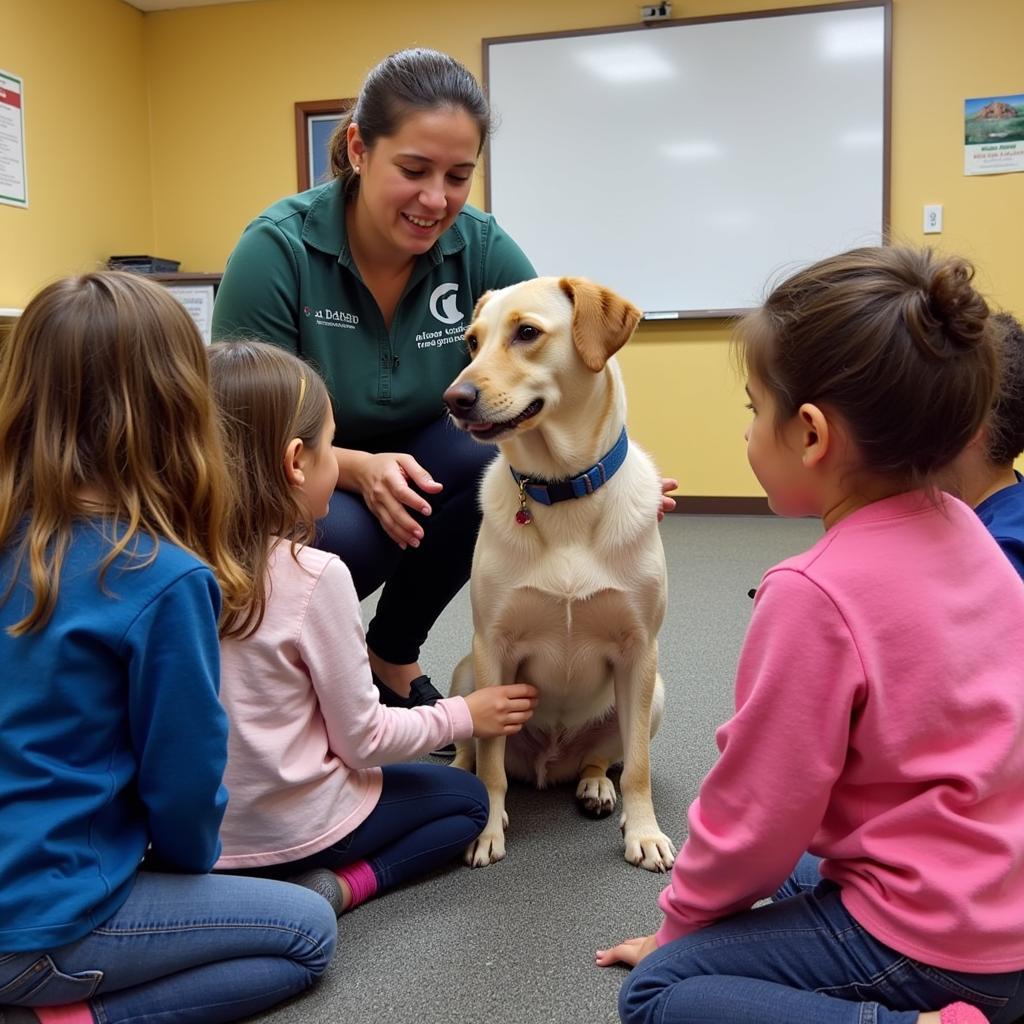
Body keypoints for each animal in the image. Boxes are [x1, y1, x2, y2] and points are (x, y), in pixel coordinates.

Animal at [442, 278, 675, 872]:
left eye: (526, 332)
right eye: (471, 342)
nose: (454, 399)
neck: (562, 488)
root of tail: (549, 763)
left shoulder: (640, 650)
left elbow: (638, 766)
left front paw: (644, 832)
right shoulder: (493, 645)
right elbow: (491, 765)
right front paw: (486, 829)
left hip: (653, 697)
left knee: (604, 758)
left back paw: (595, 787)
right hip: (467, 671)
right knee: (472, 748)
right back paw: (457, 772)